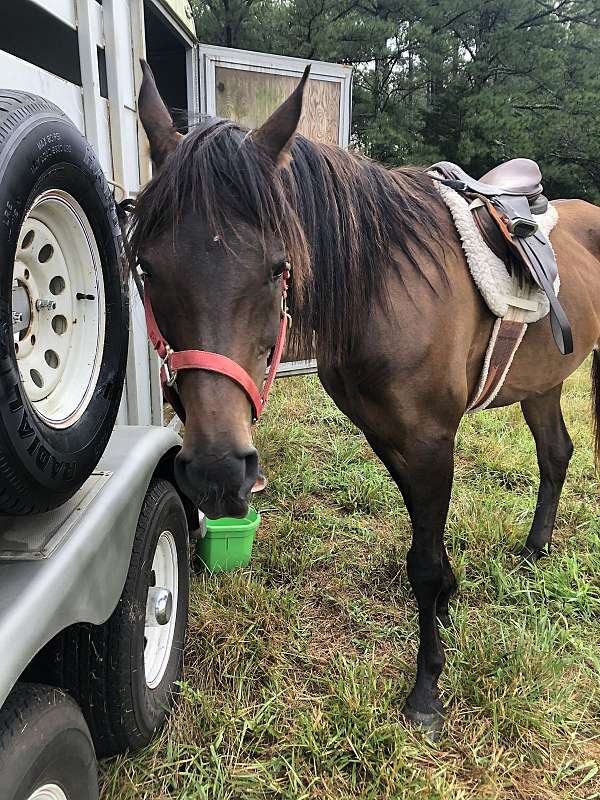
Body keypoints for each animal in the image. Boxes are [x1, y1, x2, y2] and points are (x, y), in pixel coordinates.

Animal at [132, 62, 600, 736]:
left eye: (277, 267)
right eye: (146, 267)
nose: (219, 472)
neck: (383, 288)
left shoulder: (430, 441)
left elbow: (422, 562)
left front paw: (427, 690)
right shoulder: (387, 434)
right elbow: (424, 540)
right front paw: (452, 599)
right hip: (542, 382)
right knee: (556, 454)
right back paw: (534, 554)